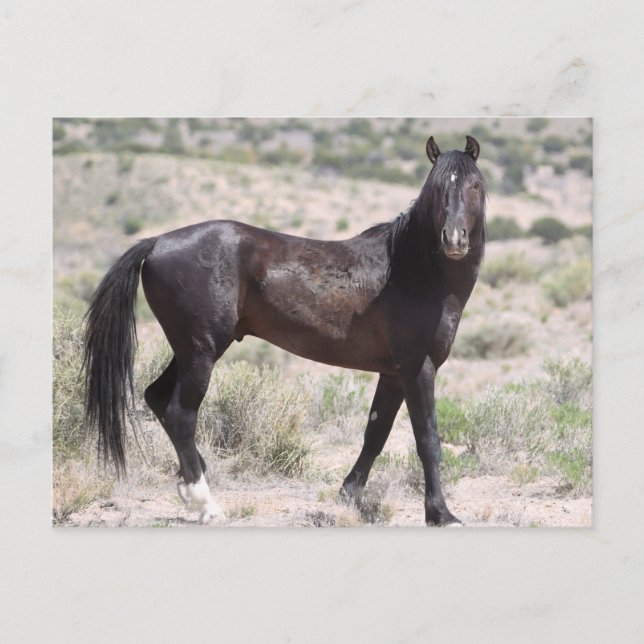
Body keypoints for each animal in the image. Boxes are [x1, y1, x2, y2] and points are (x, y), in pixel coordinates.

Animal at [83, 135, 487, 526]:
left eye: (475, 185)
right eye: (436, 187)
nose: (454, 239)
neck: (410, 271)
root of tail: (157, 242)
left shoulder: (392, 374)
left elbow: (376, 433)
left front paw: (349, 495)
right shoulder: (418, 369)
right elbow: (427, 440)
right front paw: (441, 515)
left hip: (192, 349)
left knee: (156, 398)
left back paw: (189, 482)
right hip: (201, 352)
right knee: (181, 415)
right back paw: (206, 505)